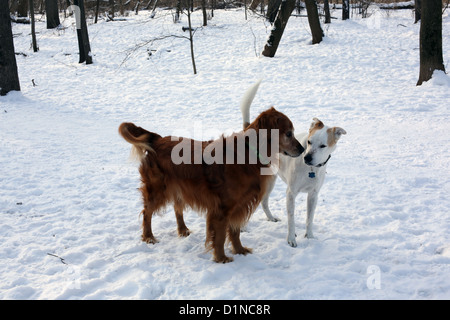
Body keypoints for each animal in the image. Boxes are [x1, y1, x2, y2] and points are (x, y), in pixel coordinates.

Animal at [118, 107, 302, 262]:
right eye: (288, 133)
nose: (302, 150)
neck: (249, 153)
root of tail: (157, 139)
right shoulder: (222, 209)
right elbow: (219, 237)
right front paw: (221, 259)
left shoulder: (238, 207)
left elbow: (235, 232)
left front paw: (240, 250)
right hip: (157, 190)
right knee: (147, 212)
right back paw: (148, 236)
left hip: (178, 188)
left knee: (177, 208)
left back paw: (183, 229)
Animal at [241, 81, 346, 246]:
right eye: (309, 142)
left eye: (323, 146)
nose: (307, 157)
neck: (310, 169)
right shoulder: (291, 193)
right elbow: (291, 219)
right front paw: (291, 239)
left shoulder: (313, 194)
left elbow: (310, 218)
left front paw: (310, 236)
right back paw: (243, 227)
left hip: (270, 180)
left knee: (264, 201)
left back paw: (271, 217)